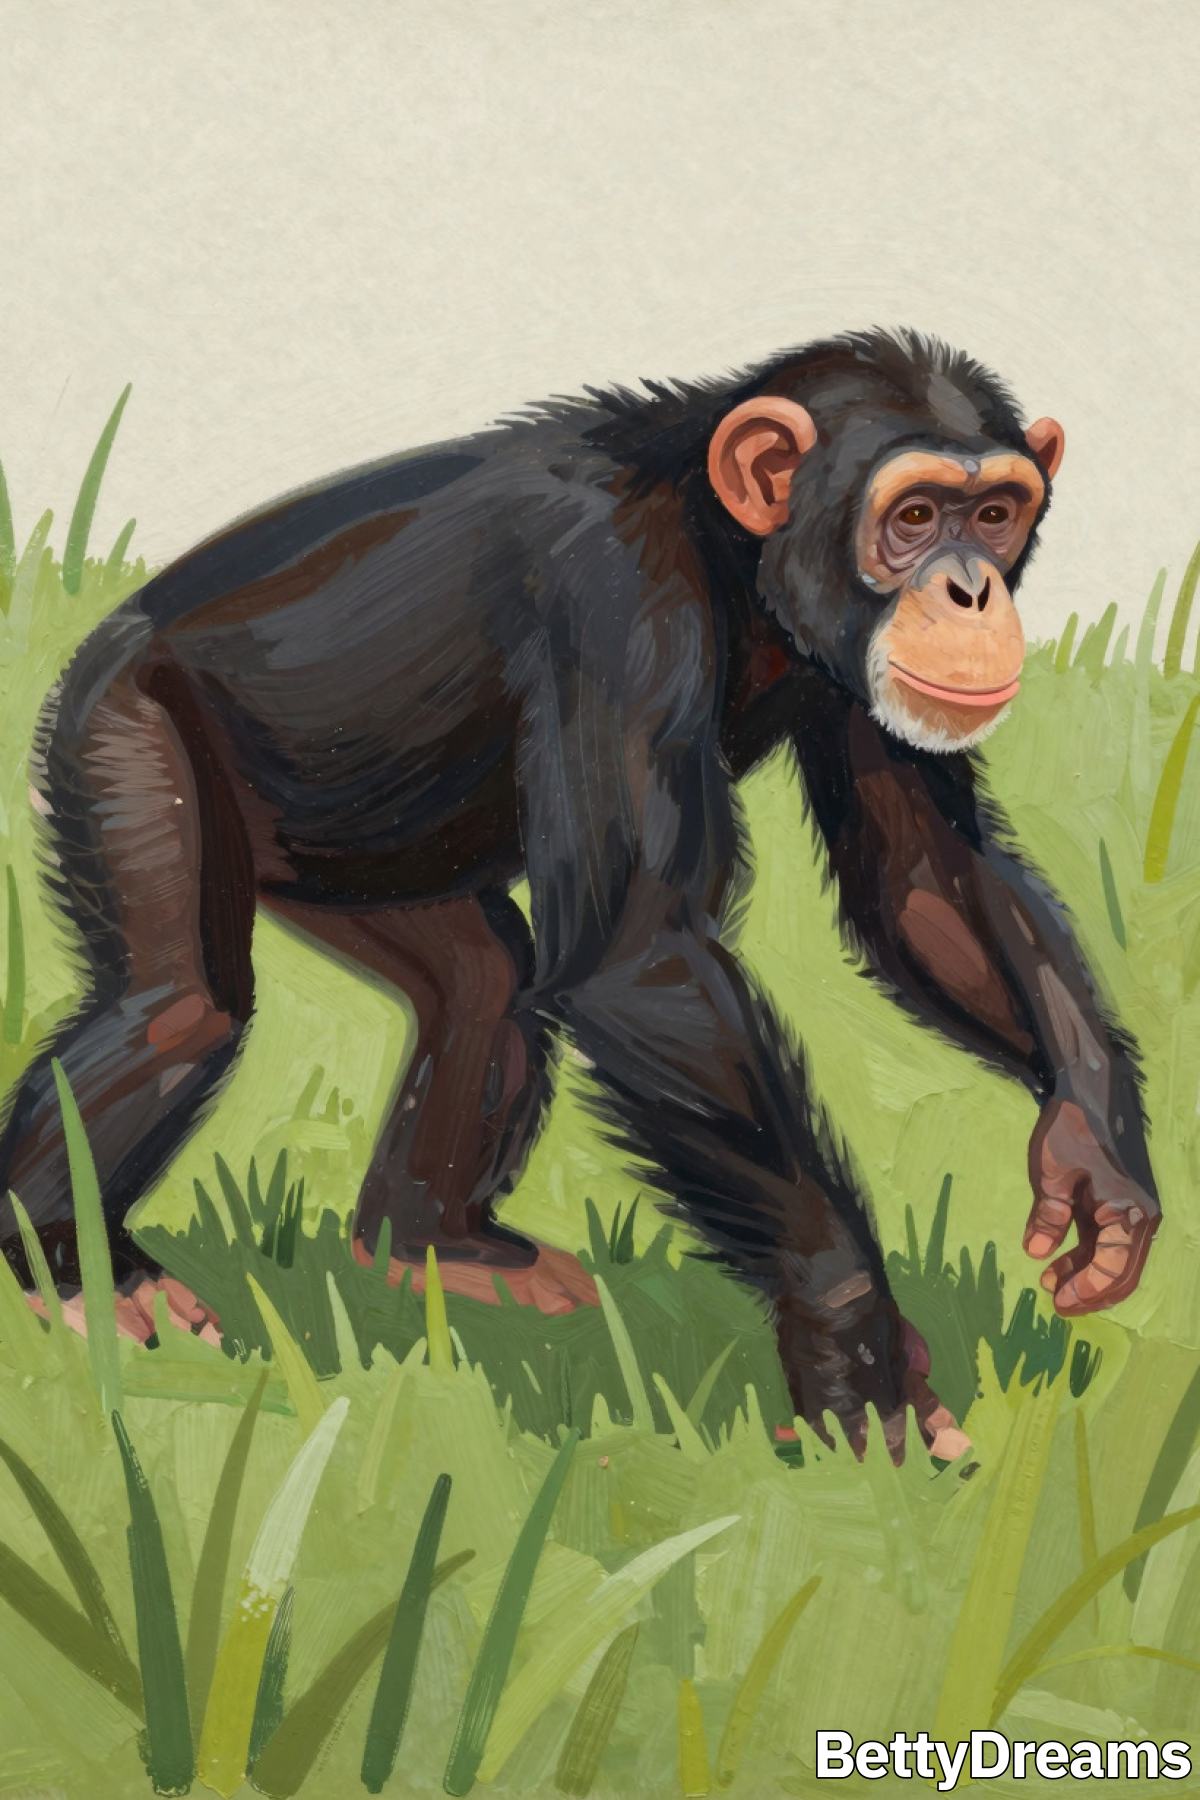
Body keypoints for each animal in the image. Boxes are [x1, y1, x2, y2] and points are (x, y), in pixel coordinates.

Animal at [0, 329, 1160, 1458]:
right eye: (914, 517)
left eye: (996, 515)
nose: (971, 589)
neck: (734, 552)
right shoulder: (614, 607)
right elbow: (640, 955)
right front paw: (854, 1355)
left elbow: (923, 880)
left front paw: (1094, 1158)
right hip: (123, 731)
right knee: (179, 1011)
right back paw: (72, 1272)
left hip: (359, 861)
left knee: (485, 983)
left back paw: (434, 1249)